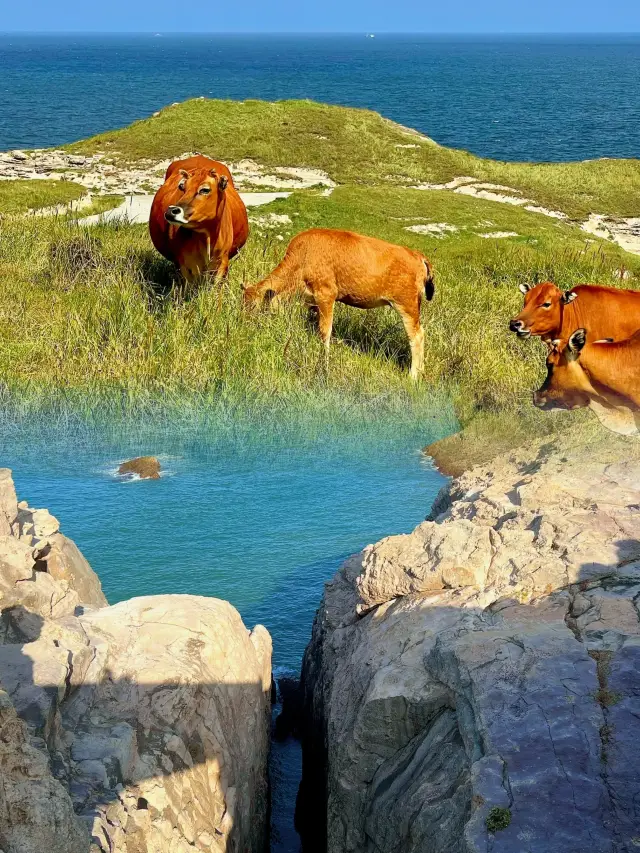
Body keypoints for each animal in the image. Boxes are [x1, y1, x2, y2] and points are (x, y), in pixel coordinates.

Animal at [241, 231, 436, 382]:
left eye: (253, 306)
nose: (245, 323)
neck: (303, 256)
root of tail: (416, 255)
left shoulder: (326, 295)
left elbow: (324, 332)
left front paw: (324, 365)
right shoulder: (310, 300)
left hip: (406, 306)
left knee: (416, 336)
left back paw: (413, 376)